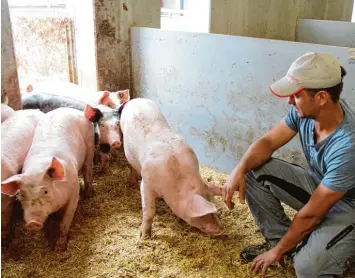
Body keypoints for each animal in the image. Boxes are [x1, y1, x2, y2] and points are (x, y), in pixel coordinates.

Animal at [121, 98, 224, 239]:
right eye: (200, 214)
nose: (220, 230)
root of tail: (135, 99)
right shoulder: (147, 183)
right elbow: (149, 211)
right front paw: (144, 236)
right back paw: (131, 182)